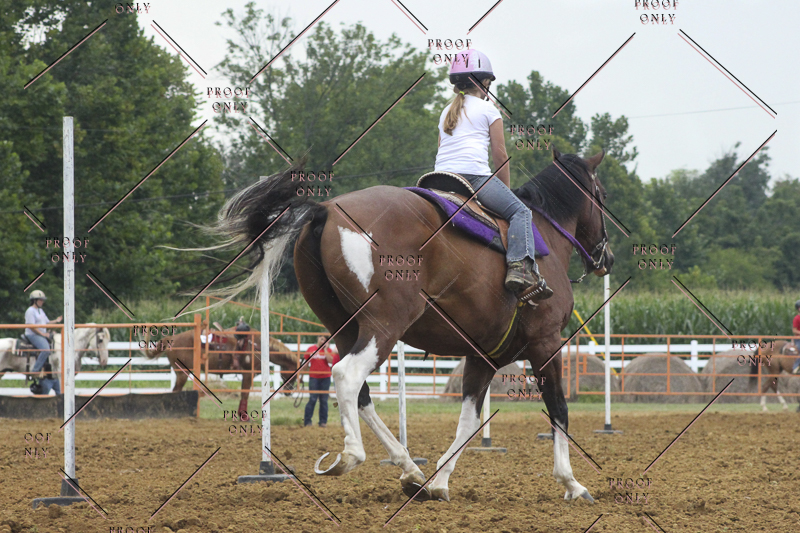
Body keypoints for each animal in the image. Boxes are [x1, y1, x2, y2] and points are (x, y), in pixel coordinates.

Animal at [140, 327, 300, 417]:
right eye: (295, 374)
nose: (289, 391)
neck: (257, 345)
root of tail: (171, 338)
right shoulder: (248, 374)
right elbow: (245, 394)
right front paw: (243, 416)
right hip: (182, 374)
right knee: (175, 391)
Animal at [199, 148, 614, 503]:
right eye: (602, 194)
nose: (606, 256)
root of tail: (326, 211)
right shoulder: (546, 342)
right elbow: (557, 406)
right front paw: (572, 483)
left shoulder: (482, 356)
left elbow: (468, 420)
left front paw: (440, 482)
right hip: (383, 325)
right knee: (347, 376)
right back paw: (352, 456)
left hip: (345, 328)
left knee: (361, 392)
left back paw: (411, 469)